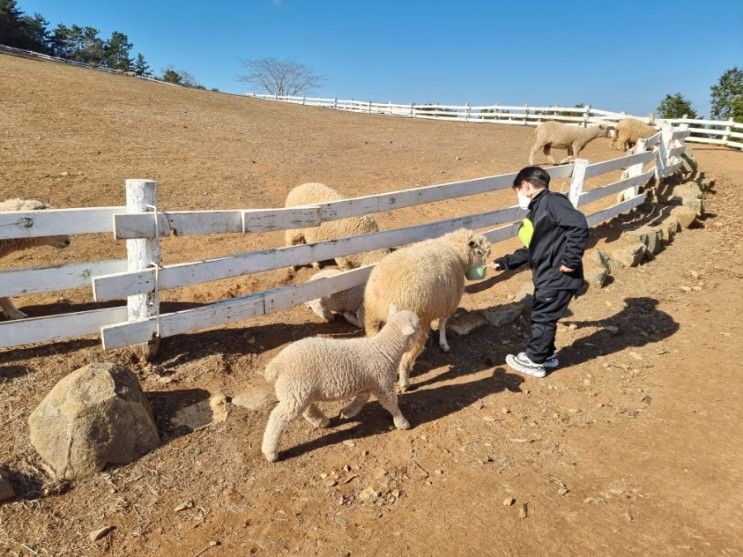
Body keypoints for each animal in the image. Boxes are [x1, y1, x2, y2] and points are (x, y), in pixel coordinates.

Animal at [260, 304, 422, 460]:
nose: (423, 337)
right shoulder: (384, 384)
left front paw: (347, 412)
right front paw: (402, 422)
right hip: (296, 388)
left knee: (306, 409)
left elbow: (362, 398)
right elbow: (391, 403)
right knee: (278, 417)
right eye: (417, 326)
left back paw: (322, 421)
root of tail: (277, 364)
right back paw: (270, 452)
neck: (384, 349)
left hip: (298, 390)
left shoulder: (370, 383)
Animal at [364, 228, 492, 388]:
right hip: (414, 327)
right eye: (480, 252)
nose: (484, 272)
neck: (453, 249)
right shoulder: (449, 303)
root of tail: (384, 296)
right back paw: (405, 382)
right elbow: (443, 324)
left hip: (371, 317)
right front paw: (444, 344)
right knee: (406, 358)